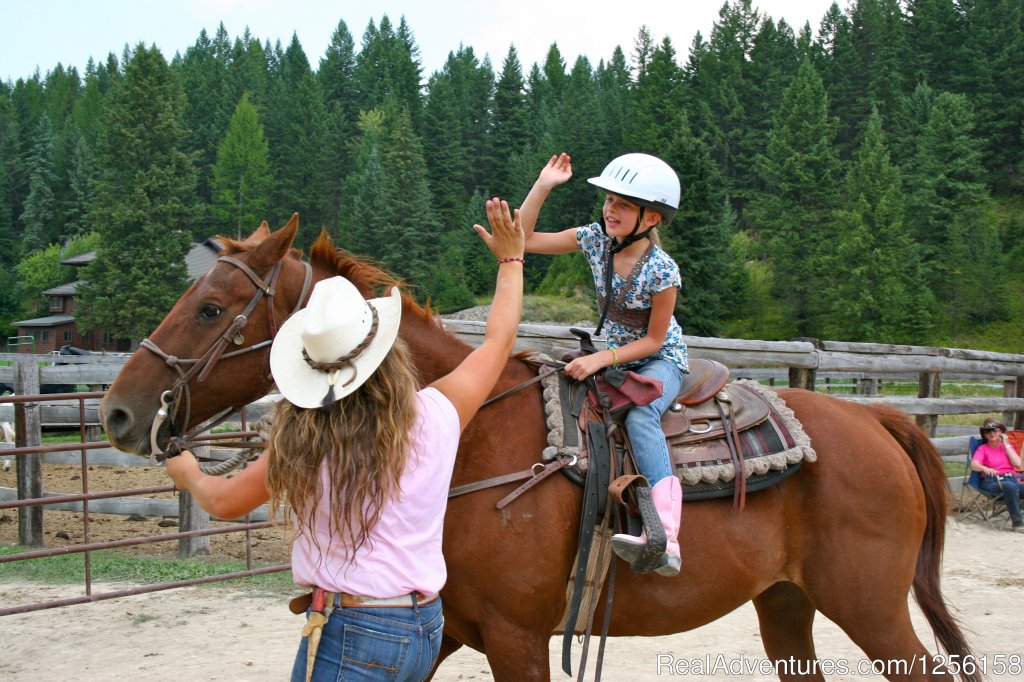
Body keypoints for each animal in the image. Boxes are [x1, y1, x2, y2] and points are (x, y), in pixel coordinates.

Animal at [101, 216, 974, 679]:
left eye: (212, 309)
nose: (118, 412)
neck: (476, 437)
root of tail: (879, 422)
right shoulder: (451, 625)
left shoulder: (519, 639)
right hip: (787, 604)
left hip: (870, 609)